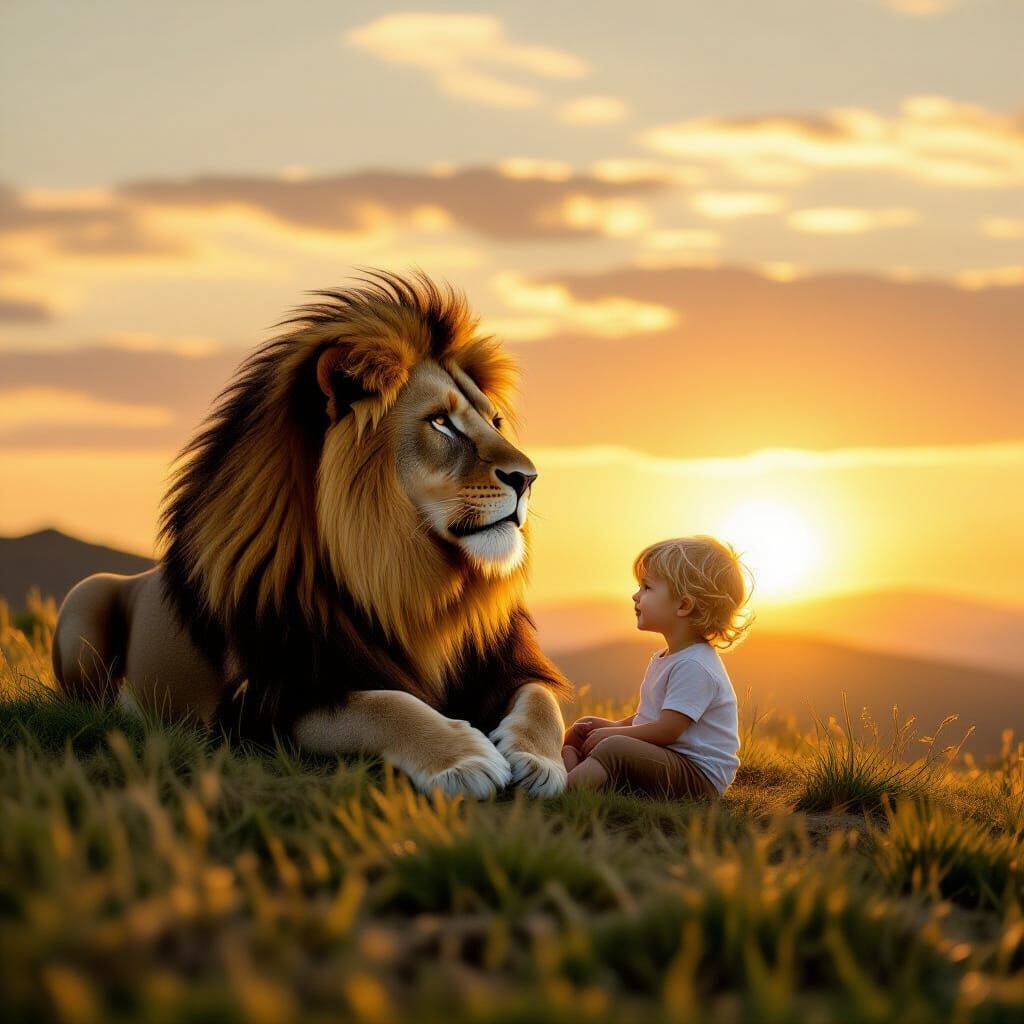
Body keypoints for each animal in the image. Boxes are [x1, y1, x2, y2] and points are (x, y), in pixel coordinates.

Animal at [52, 271, 570, 797]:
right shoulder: (268, 705)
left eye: (494, 421)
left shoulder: (507, 664)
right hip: (85, 597)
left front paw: (537, 761)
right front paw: (464, 760)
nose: (528, 478)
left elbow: (542, 701)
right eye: (441, 422)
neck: (411, 584)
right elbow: (386, 705)